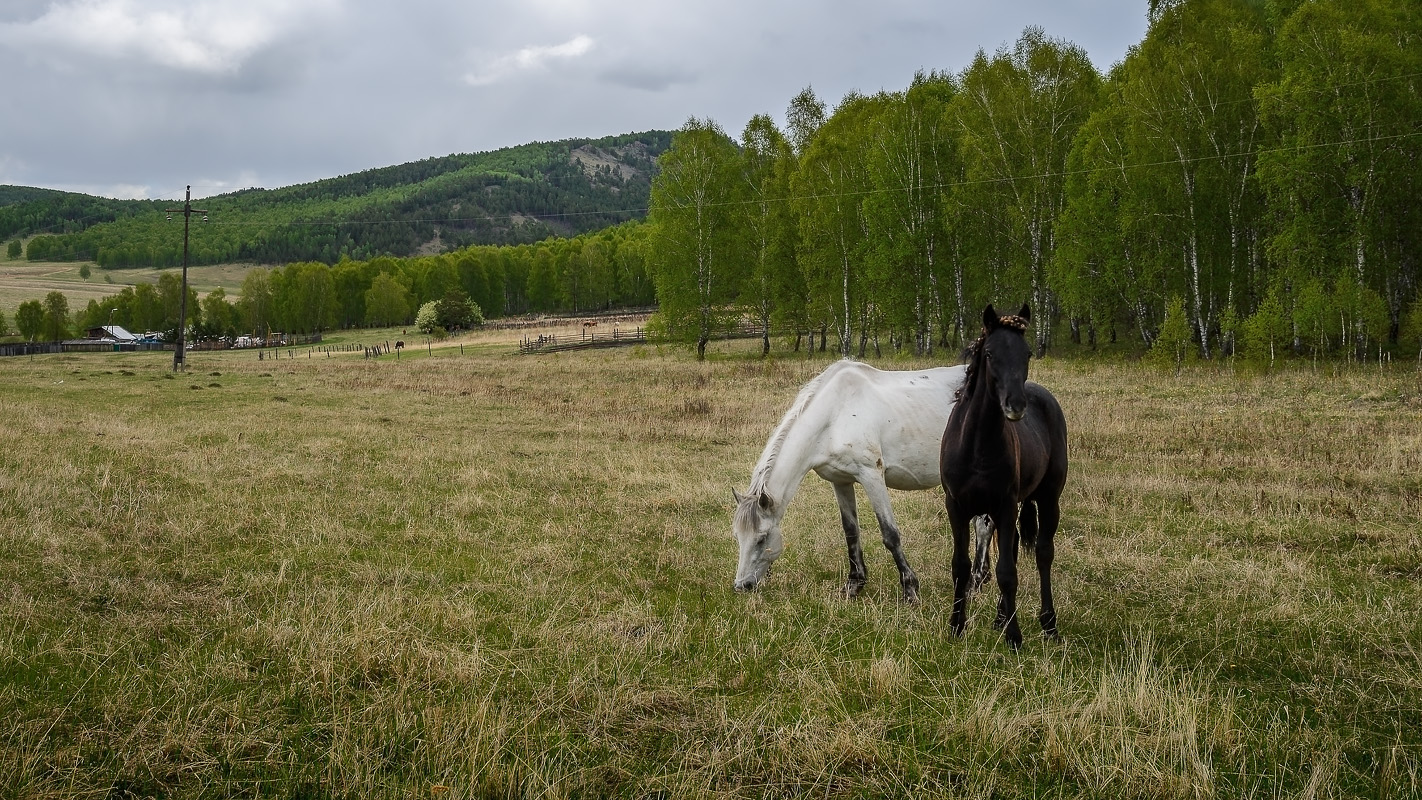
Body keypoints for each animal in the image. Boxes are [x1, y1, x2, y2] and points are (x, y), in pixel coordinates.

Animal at [733, 360, 966, 602]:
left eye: (761, 539)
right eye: (737, 536)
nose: (742, 585)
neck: (834, 417)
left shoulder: (872, 476)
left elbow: (890, 534)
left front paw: (910, 590)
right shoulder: (841, 481)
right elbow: (851, 532)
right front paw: (854, 584)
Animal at [944, 304, 1069, 647]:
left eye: (1027, 353)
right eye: (989, 353)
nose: (1015, 405)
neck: (976, 446)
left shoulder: (1004, 505)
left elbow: (1006, 572)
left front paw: (1014, 636)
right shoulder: (956, 506)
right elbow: (961, 566)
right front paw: (956, 626)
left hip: (1048, 499)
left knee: (1043, 553)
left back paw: (1047, 623)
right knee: (1011, 550)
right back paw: (1001, 617)